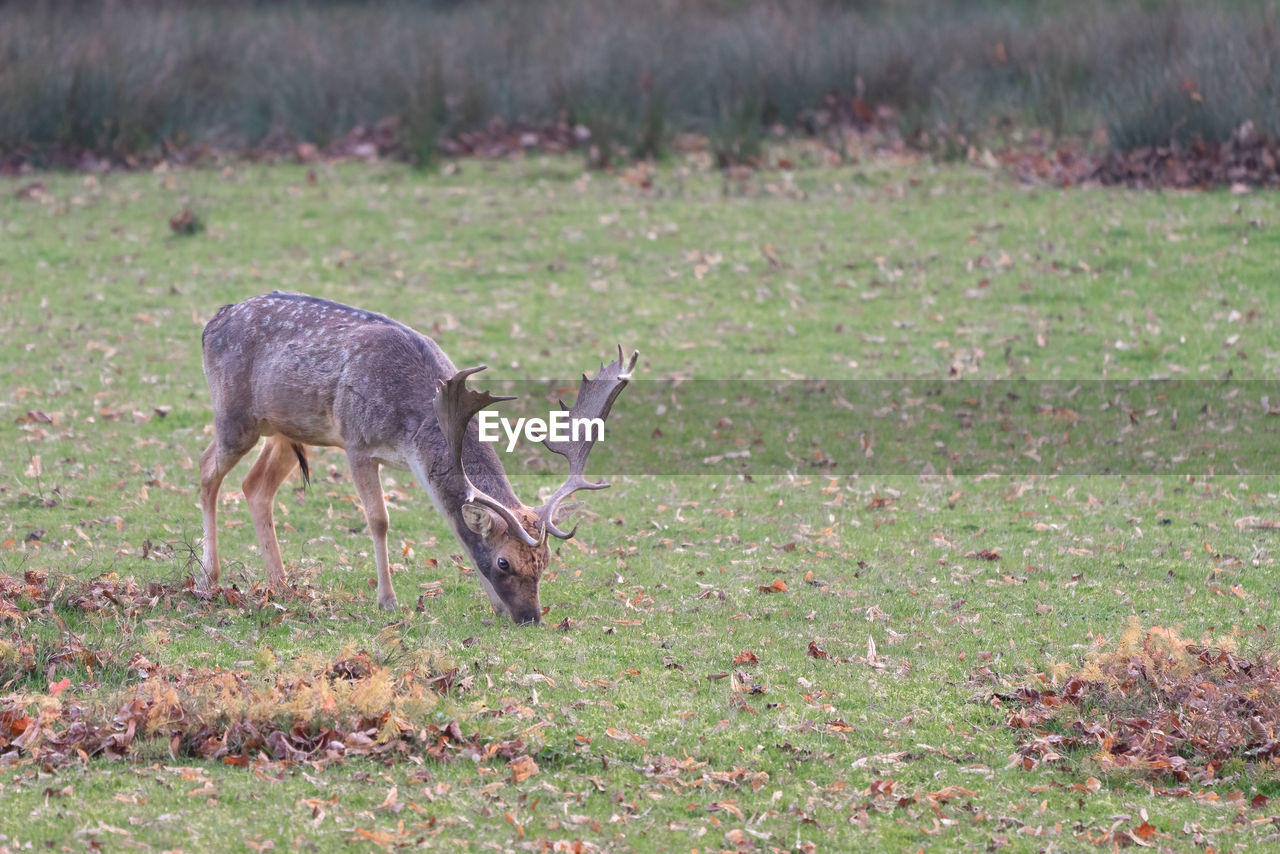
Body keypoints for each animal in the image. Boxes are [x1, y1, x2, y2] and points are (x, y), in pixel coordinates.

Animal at [195, 290, 634, 624]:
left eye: (544, 561)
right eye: (504, 563)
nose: (531, 618)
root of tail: (213, 321)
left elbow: (455, 524)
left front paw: (492, 606)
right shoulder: (356, 441)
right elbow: (379, 520)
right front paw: (387, 600)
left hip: (288, 431)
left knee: (255, 486)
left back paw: (281, 585)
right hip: (235, 415)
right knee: (206, 470)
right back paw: (208, 578)